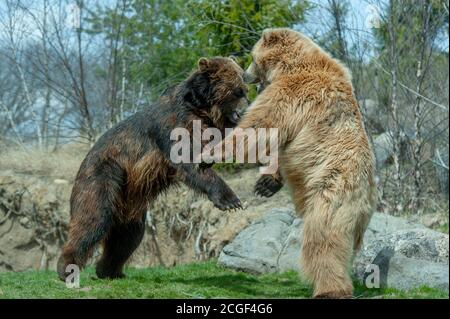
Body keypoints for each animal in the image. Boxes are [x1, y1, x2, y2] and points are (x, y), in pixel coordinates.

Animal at [57, 57, 248, 282]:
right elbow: (188, 160)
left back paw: (110, 271)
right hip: (104, 176)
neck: (201, 108)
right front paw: (230, 200)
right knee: (93, 219)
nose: (244, 111)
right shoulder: (173, 123)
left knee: (127, 237)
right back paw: (67, 268)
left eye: (244, 89)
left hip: (129, 205)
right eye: (237, 91)